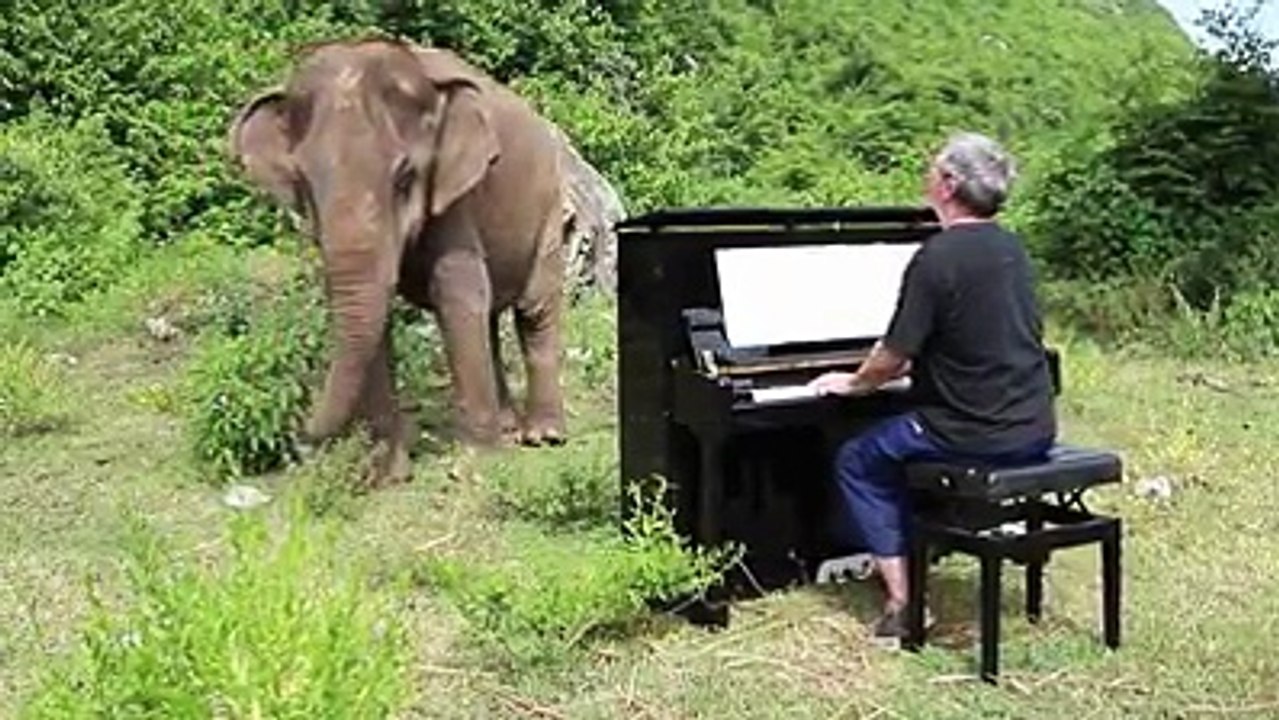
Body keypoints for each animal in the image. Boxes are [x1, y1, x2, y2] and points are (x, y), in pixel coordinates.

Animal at [228, 38, 569, 483]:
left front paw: (477, 462)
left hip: (551, 205)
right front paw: (386, 476)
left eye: (405, 177)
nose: (296, 433)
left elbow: (455, 290)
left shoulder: (456, 193)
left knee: (534, 308)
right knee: (491, 318)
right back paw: (509, 428)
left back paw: (543, 437)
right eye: (303, 181)